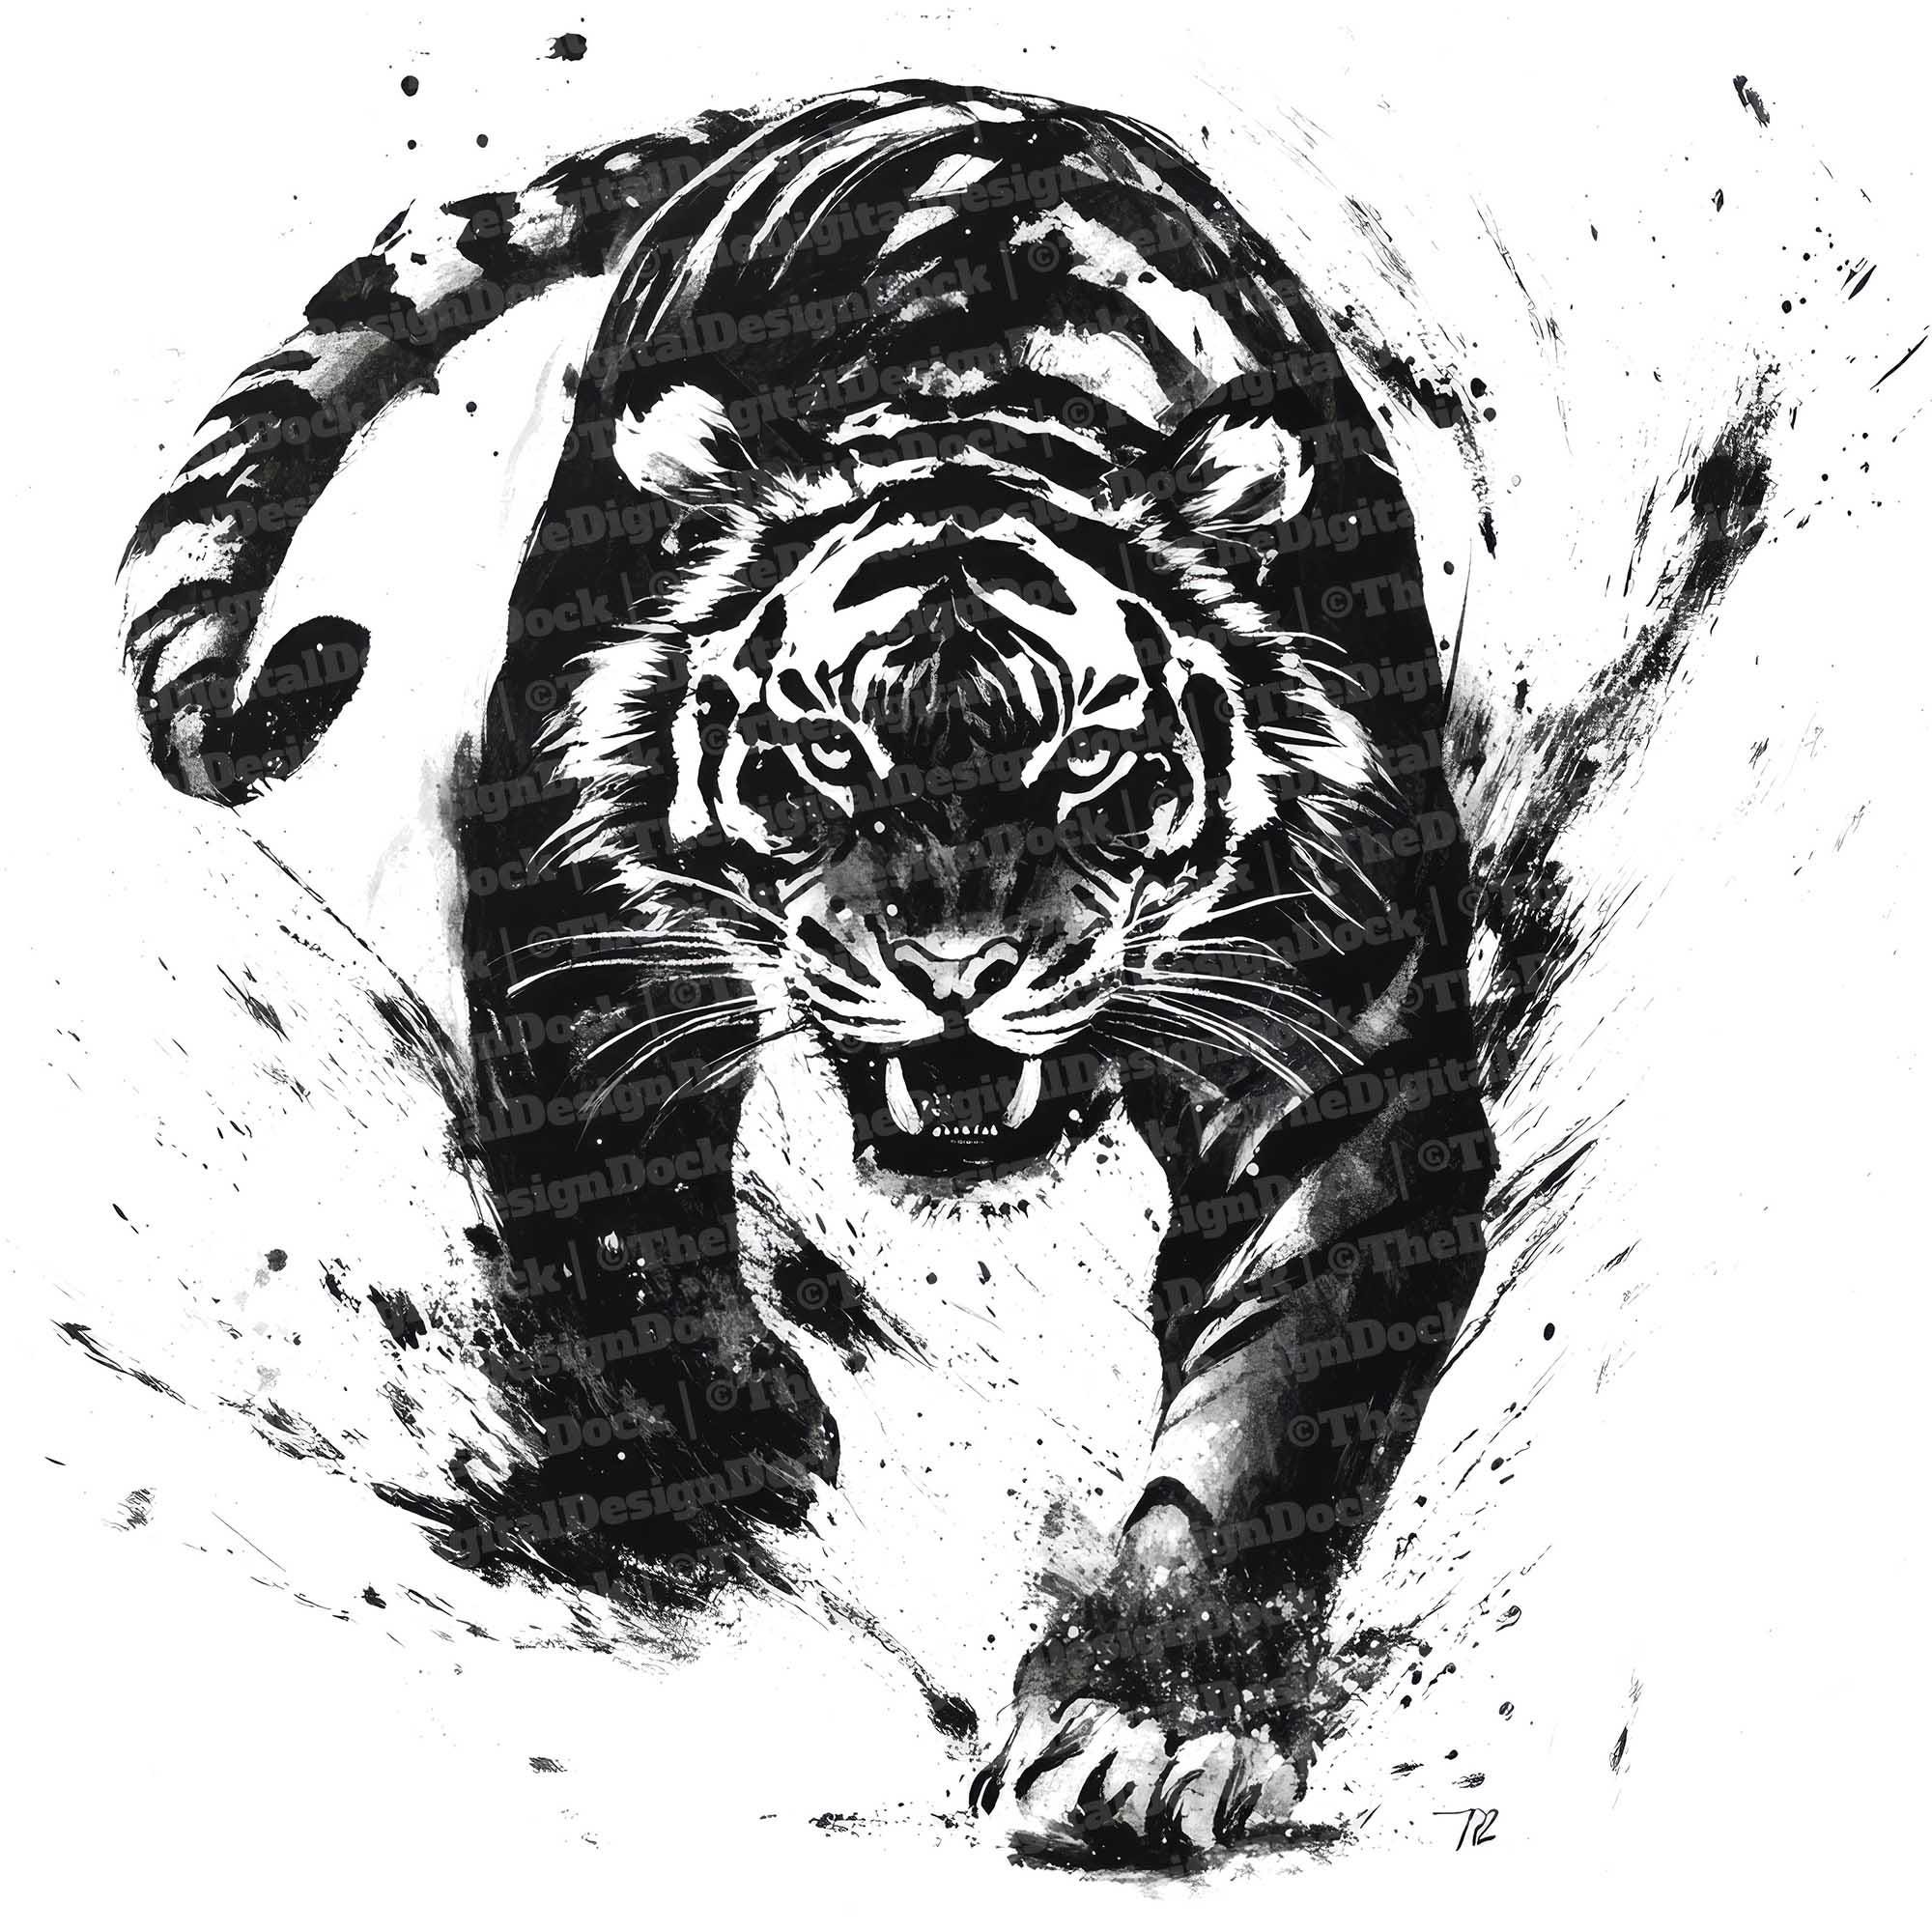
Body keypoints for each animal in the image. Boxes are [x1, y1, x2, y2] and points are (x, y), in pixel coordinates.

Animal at [120, 79, 1493, 1861]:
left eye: (1088, 759)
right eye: (829, 753)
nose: (957, 966)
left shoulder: (1337, 1064)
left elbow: (1265, 1429)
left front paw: (1148, 1724)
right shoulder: (588, 940)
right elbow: (616, 1210)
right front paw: (716, 1444)